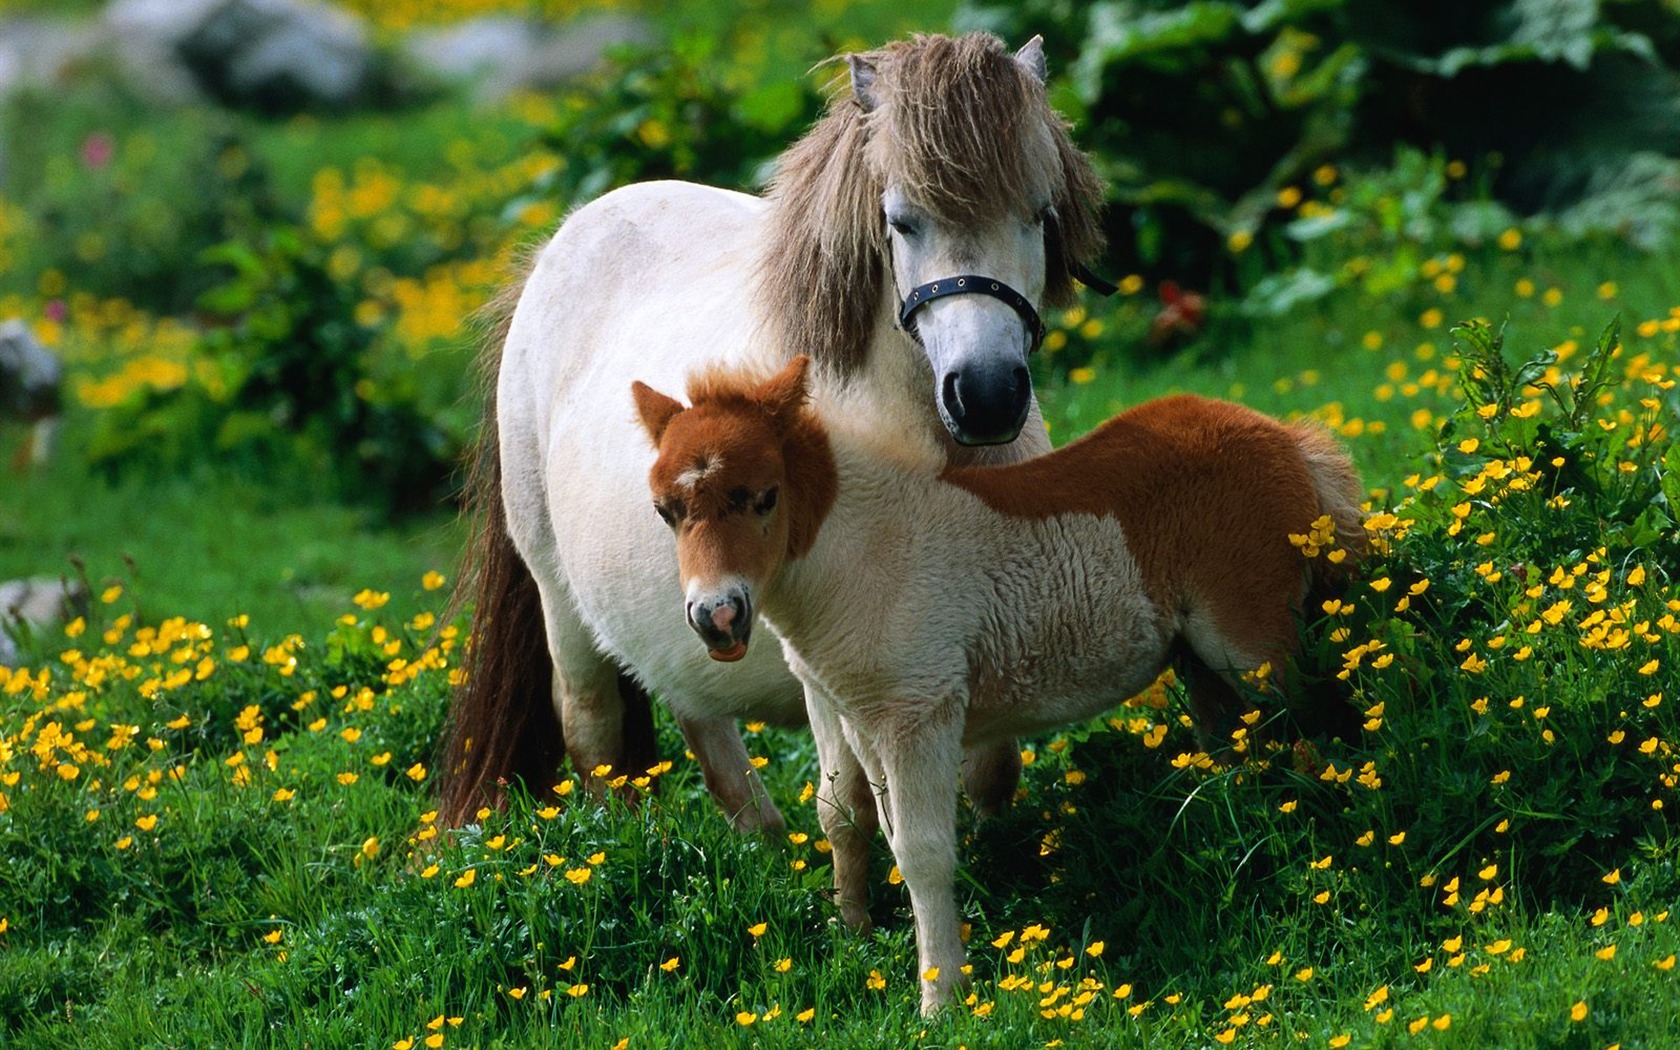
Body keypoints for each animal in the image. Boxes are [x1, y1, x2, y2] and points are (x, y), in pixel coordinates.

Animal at [440, 32, 1108, 829]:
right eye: (902, 220)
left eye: (1039, 214)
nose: (985, 395)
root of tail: (553, 252)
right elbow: (860, 801)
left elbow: (991, 773)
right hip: (560, 600)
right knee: (593, 729)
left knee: (697, 712)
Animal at [631, 356, 1364, 1014]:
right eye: (665, 511)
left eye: (764, 496)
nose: (717, 617)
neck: (863, 552)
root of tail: (1285, 436)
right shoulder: (862, 720)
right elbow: (871, 828)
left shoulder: (920, 713)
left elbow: (924, 852)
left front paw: (942, 1000)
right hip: (1200, 661)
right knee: (1240, 742)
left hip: (1252, 645)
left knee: (1325, 717)